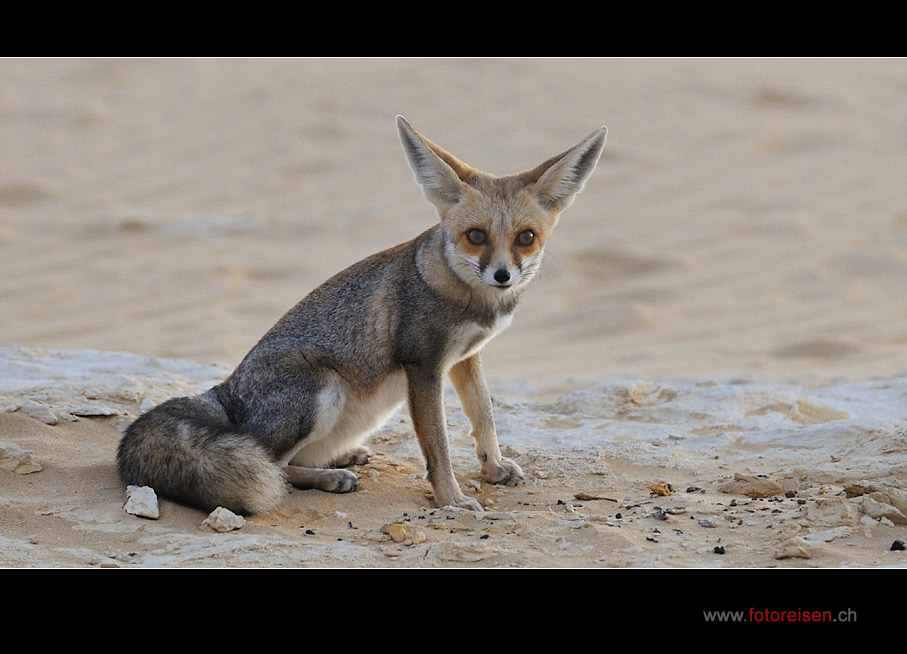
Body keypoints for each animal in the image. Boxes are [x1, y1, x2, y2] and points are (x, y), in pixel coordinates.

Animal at [115, 118, 612, 516]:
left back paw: (338, 458)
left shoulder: (466, 357)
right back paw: (328, 477)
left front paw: (493, 467)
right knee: (272, 464)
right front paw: (451, 500)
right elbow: (438, 447)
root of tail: (227, 391)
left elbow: (484, 415)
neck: (470, 301)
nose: (503, 275)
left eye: (526, 237)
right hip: (322, 390)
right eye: (476, 236)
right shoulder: (423, 365)